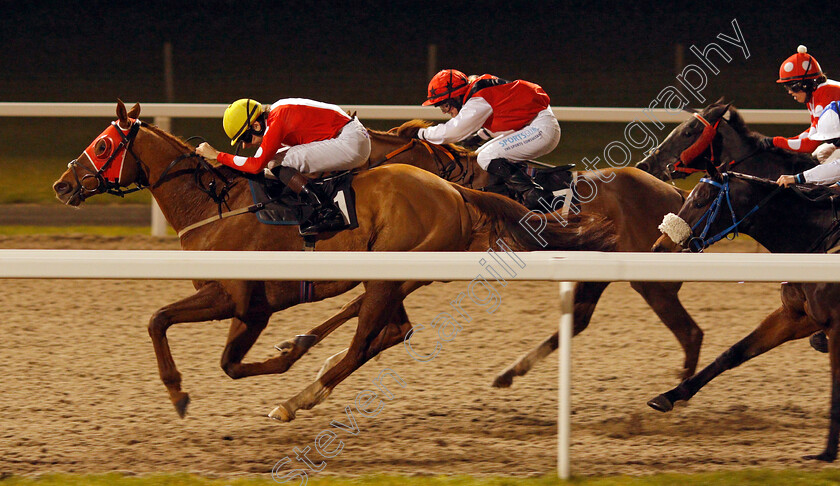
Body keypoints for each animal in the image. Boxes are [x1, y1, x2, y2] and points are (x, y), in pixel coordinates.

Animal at [52, 100, 616, 420]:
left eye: (101, 144)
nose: (61, 184)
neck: (215, 203)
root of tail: (454, 189)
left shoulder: (247, 302)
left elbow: (219, 356)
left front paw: (191, 388)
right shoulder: (225, 297)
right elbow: (161, 321)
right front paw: (181, 391)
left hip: (391, 274)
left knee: (367, 341)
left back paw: (297, 399)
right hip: (388, 273)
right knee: (392, 331)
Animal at [652, 164, 840, 464]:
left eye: (701, 199)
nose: (660, 246)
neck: (815, 244)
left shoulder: (835, 325)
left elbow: (836, 382)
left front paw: (827, 451)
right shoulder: (796, 317)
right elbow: (734, 353)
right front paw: (669, 395)